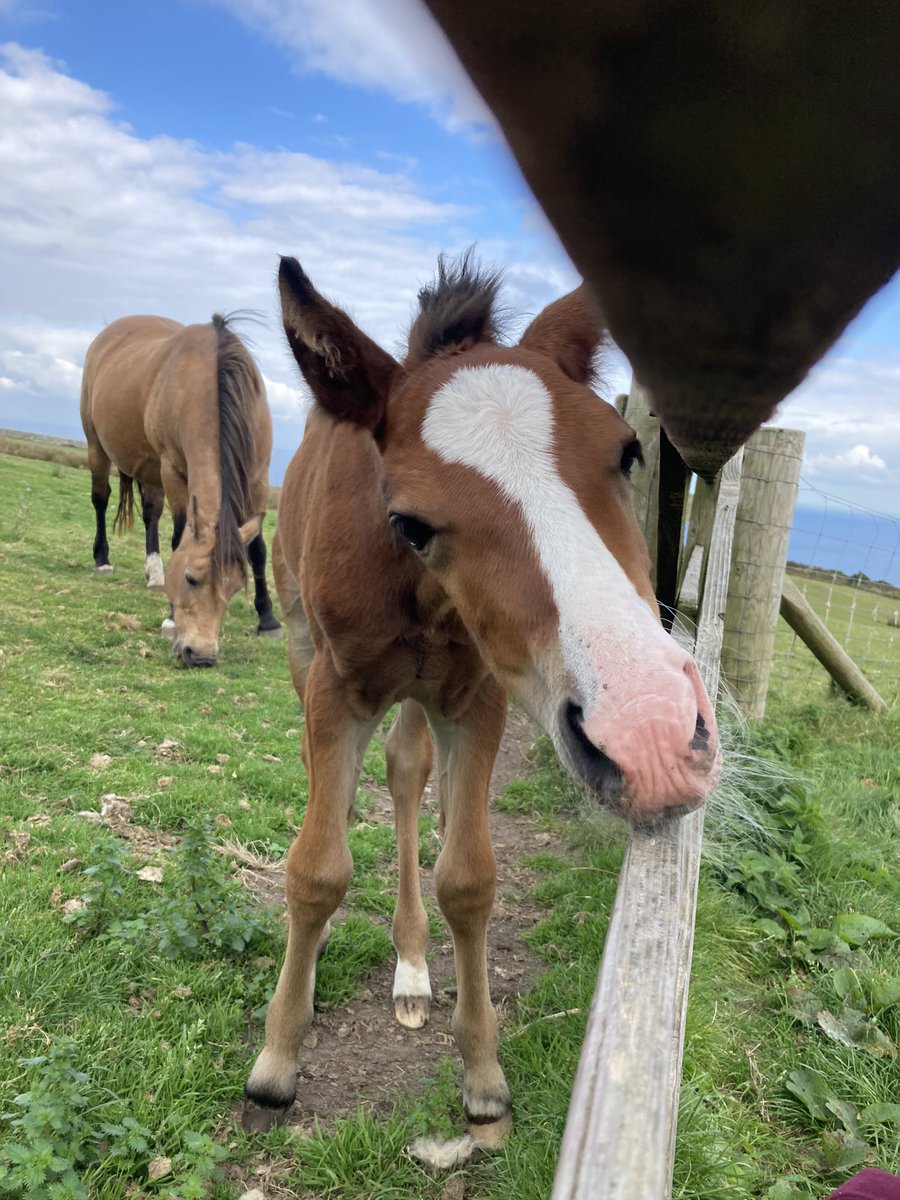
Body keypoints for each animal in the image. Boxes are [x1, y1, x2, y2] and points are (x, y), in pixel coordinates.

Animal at [80, 314, 281, 665]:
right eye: (190, 578)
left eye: (234, 588)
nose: (200, 656)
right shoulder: (172, 470)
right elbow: (178, 537)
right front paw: (172, 619)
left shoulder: (258, 478)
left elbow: (257, 550)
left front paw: (267, 619)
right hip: (98, 448)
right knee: (101, 499)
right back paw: (102, 560)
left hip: (149, 469)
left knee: (150, 514)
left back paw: (155, 575)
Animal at [241, 253, 721, 1148]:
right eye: (410, 520)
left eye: (628, 453)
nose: (653, 734)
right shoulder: (336, 690)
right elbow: (316, 869)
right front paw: (277, 1063)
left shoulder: (476, 699)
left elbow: (467, 879)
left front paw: (484, 1076)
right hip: (299, 648)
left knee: (405, 768)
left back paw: (411, 969)